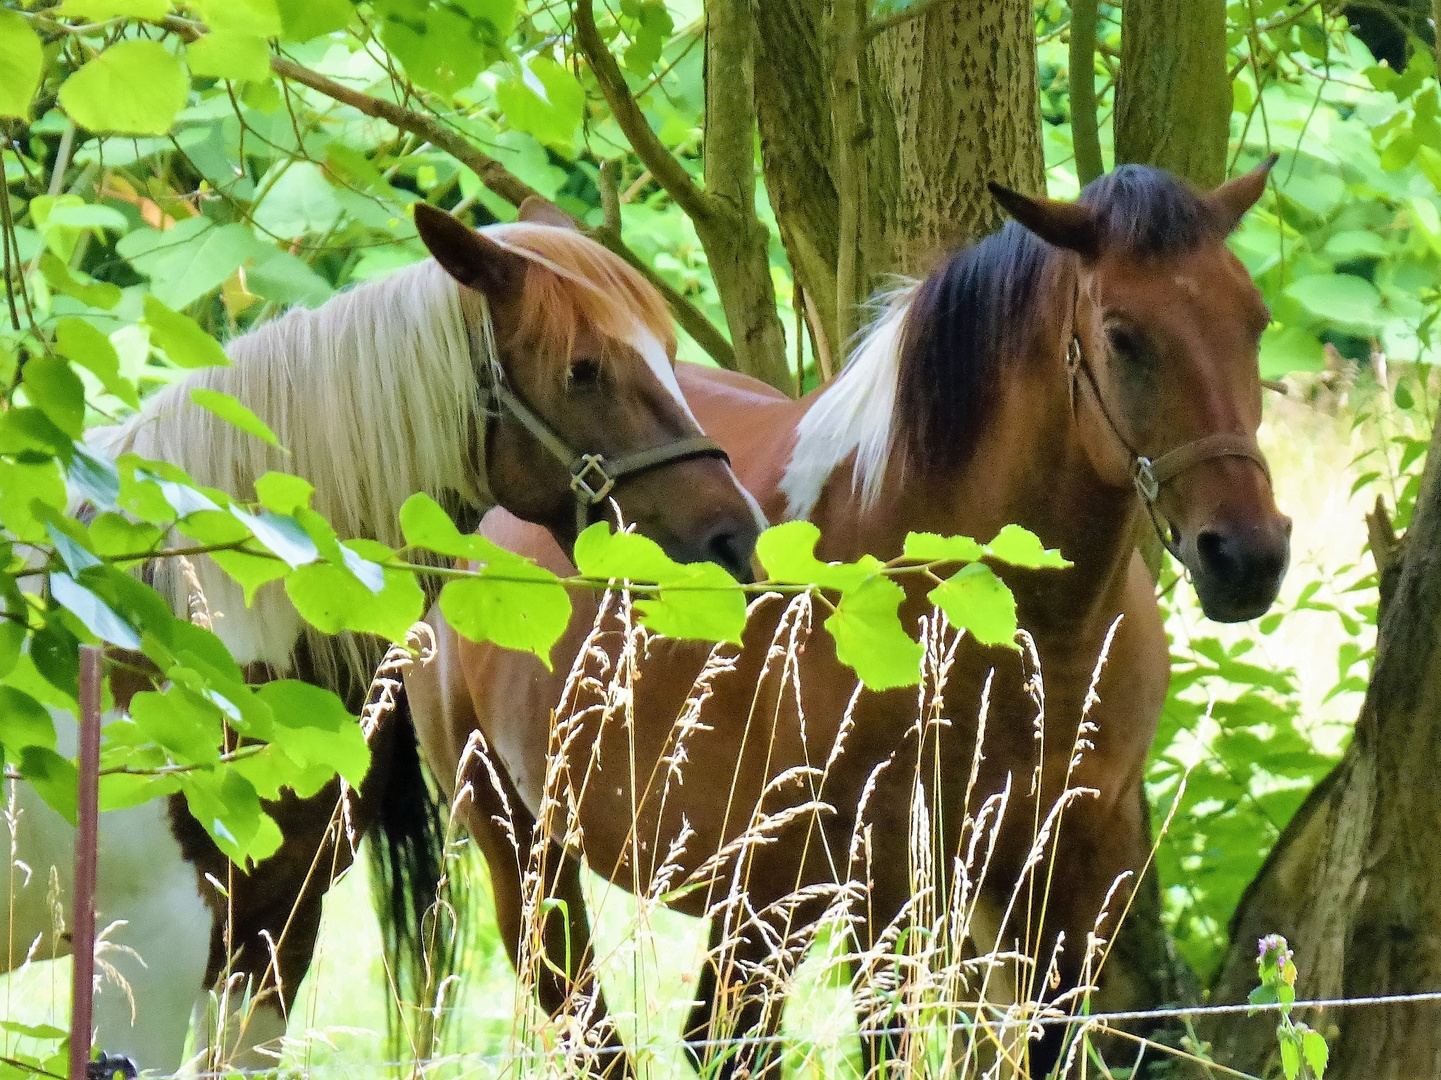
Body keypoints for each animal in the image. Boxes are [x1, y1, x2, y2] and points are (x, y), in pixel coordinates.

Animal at [400, 164, 1291, 1072]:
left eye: (1254, 322)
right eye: (1121, 336)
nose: (1246, 555)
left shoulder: (1069, 874)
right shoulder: (877, 884)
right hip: (528, 845)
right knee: (599, 1026)